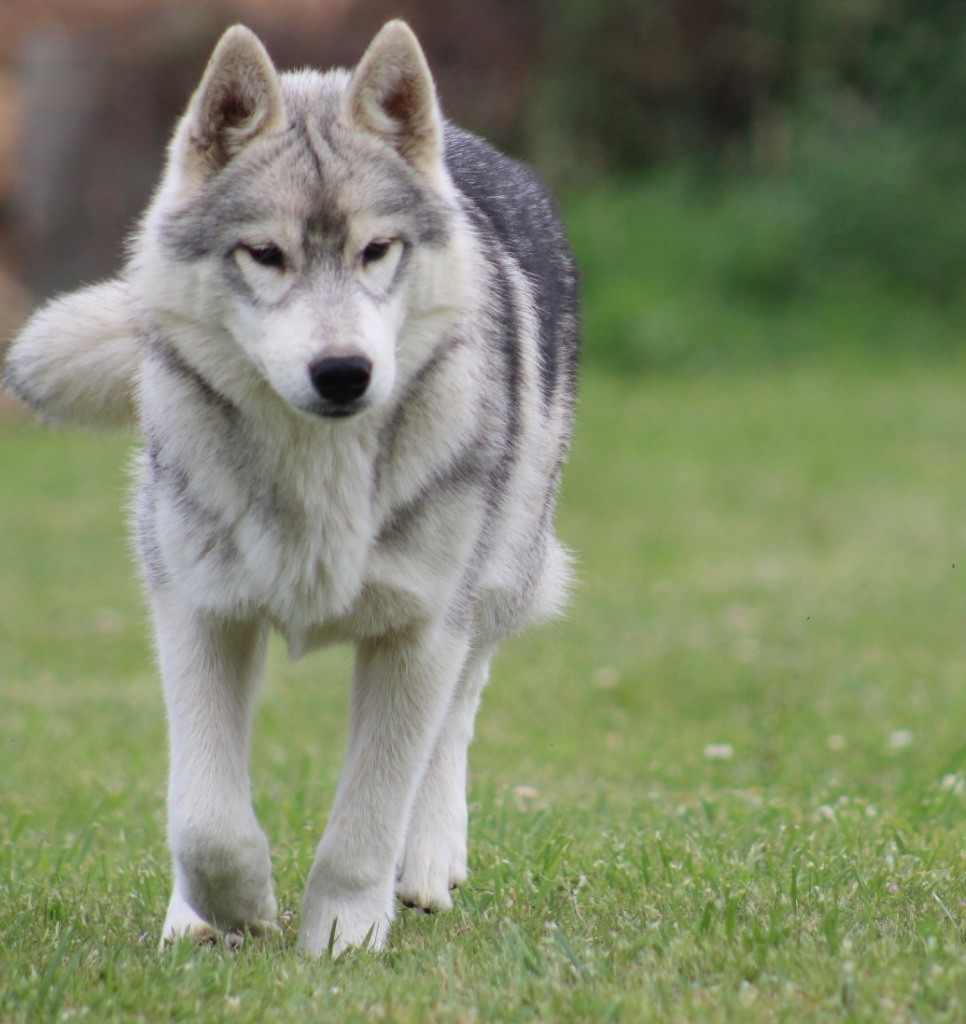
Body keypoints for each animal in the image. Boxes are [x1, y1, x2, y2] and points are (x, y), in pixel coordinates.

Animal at [3, 19, 577, 954]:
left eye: (377, 250)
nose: (343, 372)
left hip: (498, 576)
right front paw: (236, 908)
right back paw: (190, 918)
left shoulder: (421, 631)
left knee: (458, 715)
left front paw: (342, 938)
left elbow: (367, 818)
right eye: (266, 255)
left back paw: (427, 865)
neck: (321, 470)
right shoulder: (198, 611)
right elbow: (204, 816)